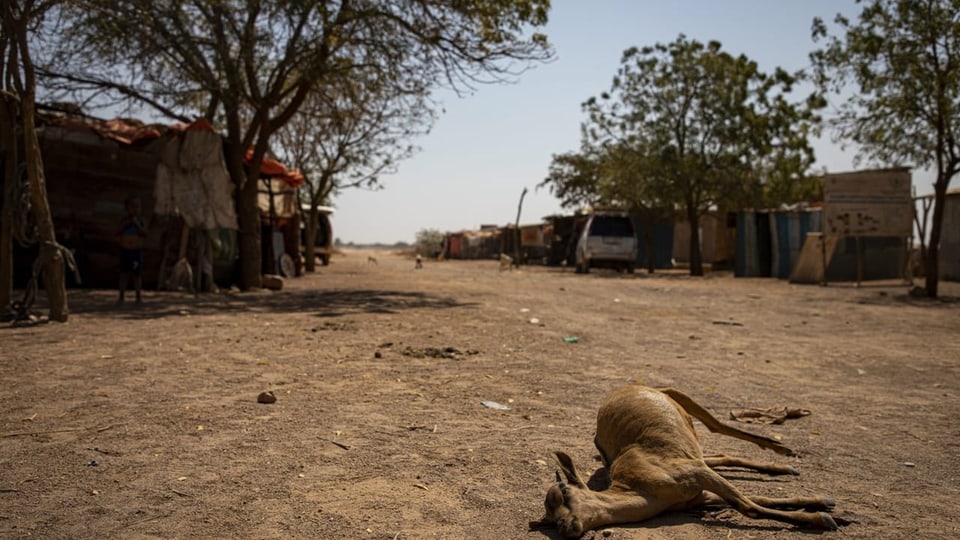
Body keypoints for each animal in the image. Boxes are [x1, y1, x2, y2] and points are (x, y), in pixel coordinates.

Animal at [528, 384, 836, 536]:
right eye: (550, 520)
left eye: (564, 491)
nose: (565, 526)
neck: (644, 491)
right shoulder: (697, 495)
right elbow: (759, 499)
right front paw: (824, 505)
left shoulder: (695, 474)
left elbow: (748, 506)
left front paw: (822, 518)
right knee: (720, 454)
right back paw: (785, 466)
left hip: (677, 395)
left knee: (716, 425)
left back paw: (782, 449)